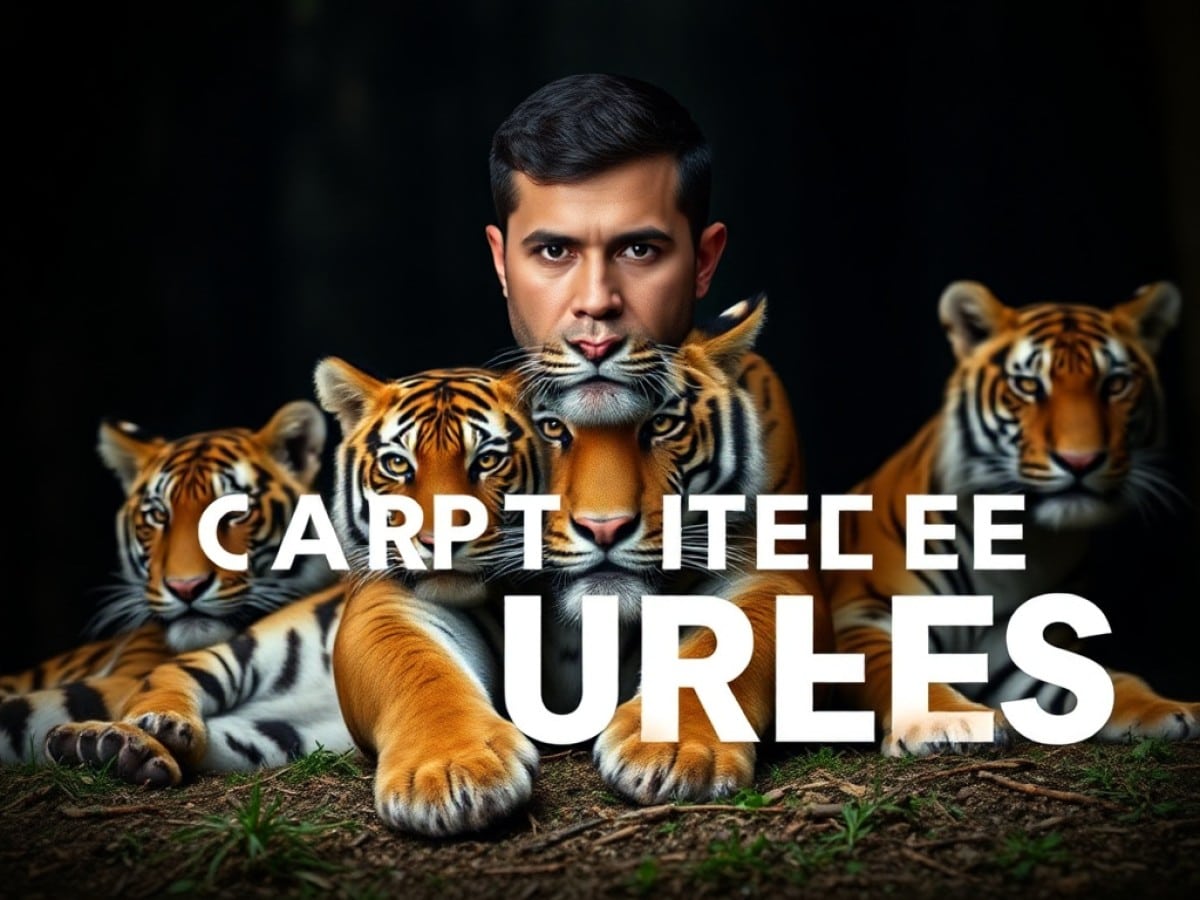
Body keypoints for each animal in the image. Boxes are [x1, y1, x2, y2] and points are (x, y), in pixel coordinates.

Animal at [314, 358, 545, 838]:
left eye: (488, 459)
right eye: (397, 464)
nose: (440, 541)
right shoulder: (384, 605)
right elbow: (420, 673)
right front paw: (452, 770)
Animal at [823, 279, 1199, 757]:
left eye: (1115, 384)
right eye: (1027, 385)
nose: (1081, 460)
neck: (1015, 537)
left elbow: (1107, 679)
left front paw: (1172, 708)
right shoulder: (862, 615)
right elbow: (899, 665)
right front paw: (948, 722)